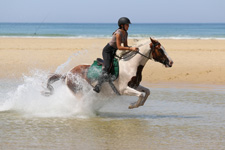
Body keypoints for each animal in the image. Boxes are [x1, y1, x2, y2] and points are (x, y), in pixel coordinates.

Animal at [41, 37, 172, 109]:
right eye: (160, 50)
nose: (171, 62)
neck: (131, 65)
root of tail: (68, 74)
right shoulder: (124, 89)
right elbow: (141, 94)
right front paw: (132, 105)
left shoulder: (134, 85)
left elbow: (147, 92)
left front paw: (136, 104)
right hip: (79, 91)